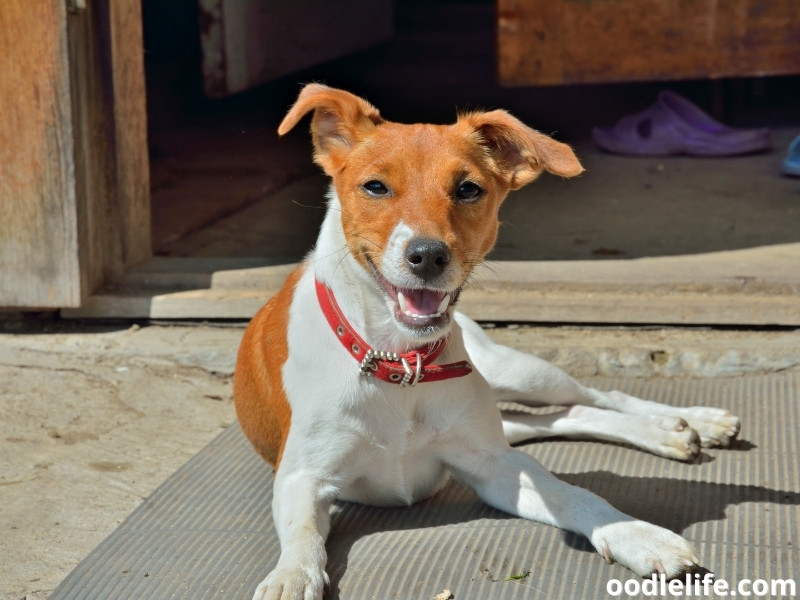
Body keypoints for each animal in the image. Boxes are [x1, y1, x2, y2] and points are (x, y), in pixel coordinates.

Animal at [234, 85, 740, 600]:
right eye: (375, 187)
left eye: (468, 189)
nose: (427, 255)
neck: (401, 361)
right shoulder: (301, 479)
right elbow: (302, 537)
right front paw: (290, 578)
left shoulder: (496, 468)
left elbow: (576, 494)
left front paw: (637, 535)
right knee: (555, 417)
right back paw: (674, 432)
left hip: (515, 373)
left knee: (593, 395)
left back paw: (692, 422)